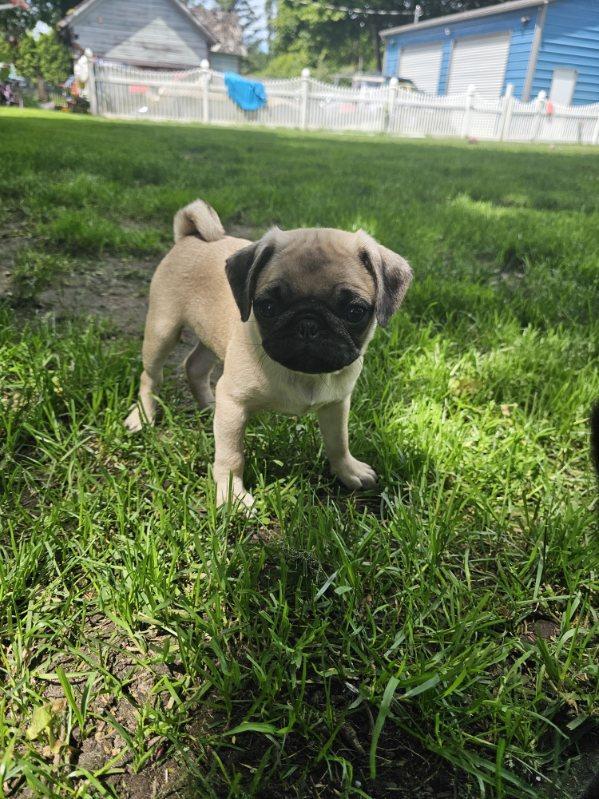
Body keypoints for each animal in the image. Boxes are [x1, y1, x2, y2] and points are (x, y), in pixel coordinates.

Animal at [125, 199, 413, 508]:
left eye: (355, 311)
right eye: (268, 307)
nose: (308, 324)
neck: (303, 374)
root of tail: (189, 236)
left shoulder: (337, 404)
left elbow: (339, 442)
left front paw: (348, 471)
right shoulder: (234, 404)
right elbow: (231, 456)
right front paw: (232, 496)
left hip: (211, 336)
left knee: (195, 366)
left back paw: (209, 406)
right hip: (162, 330)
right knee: (151, 377)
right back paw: (142, 417)